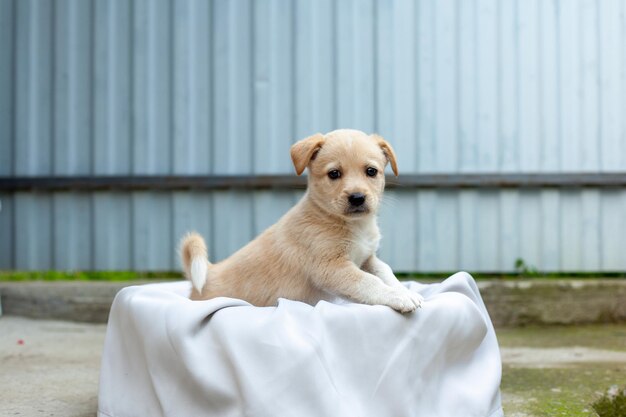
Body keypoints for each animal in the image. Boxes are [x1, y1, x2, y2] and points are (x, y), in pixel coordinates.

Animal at [180, 128, 424, 310]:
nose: (357, 198)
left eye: (371, 171)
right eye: (334, 174)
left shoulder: (366, 259)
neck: (350, 225)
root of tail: (208, 273)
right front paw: (399, 297)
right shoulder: (332, 268)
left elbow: (386, 272)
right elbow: (369, 282)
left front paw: (402, 290)